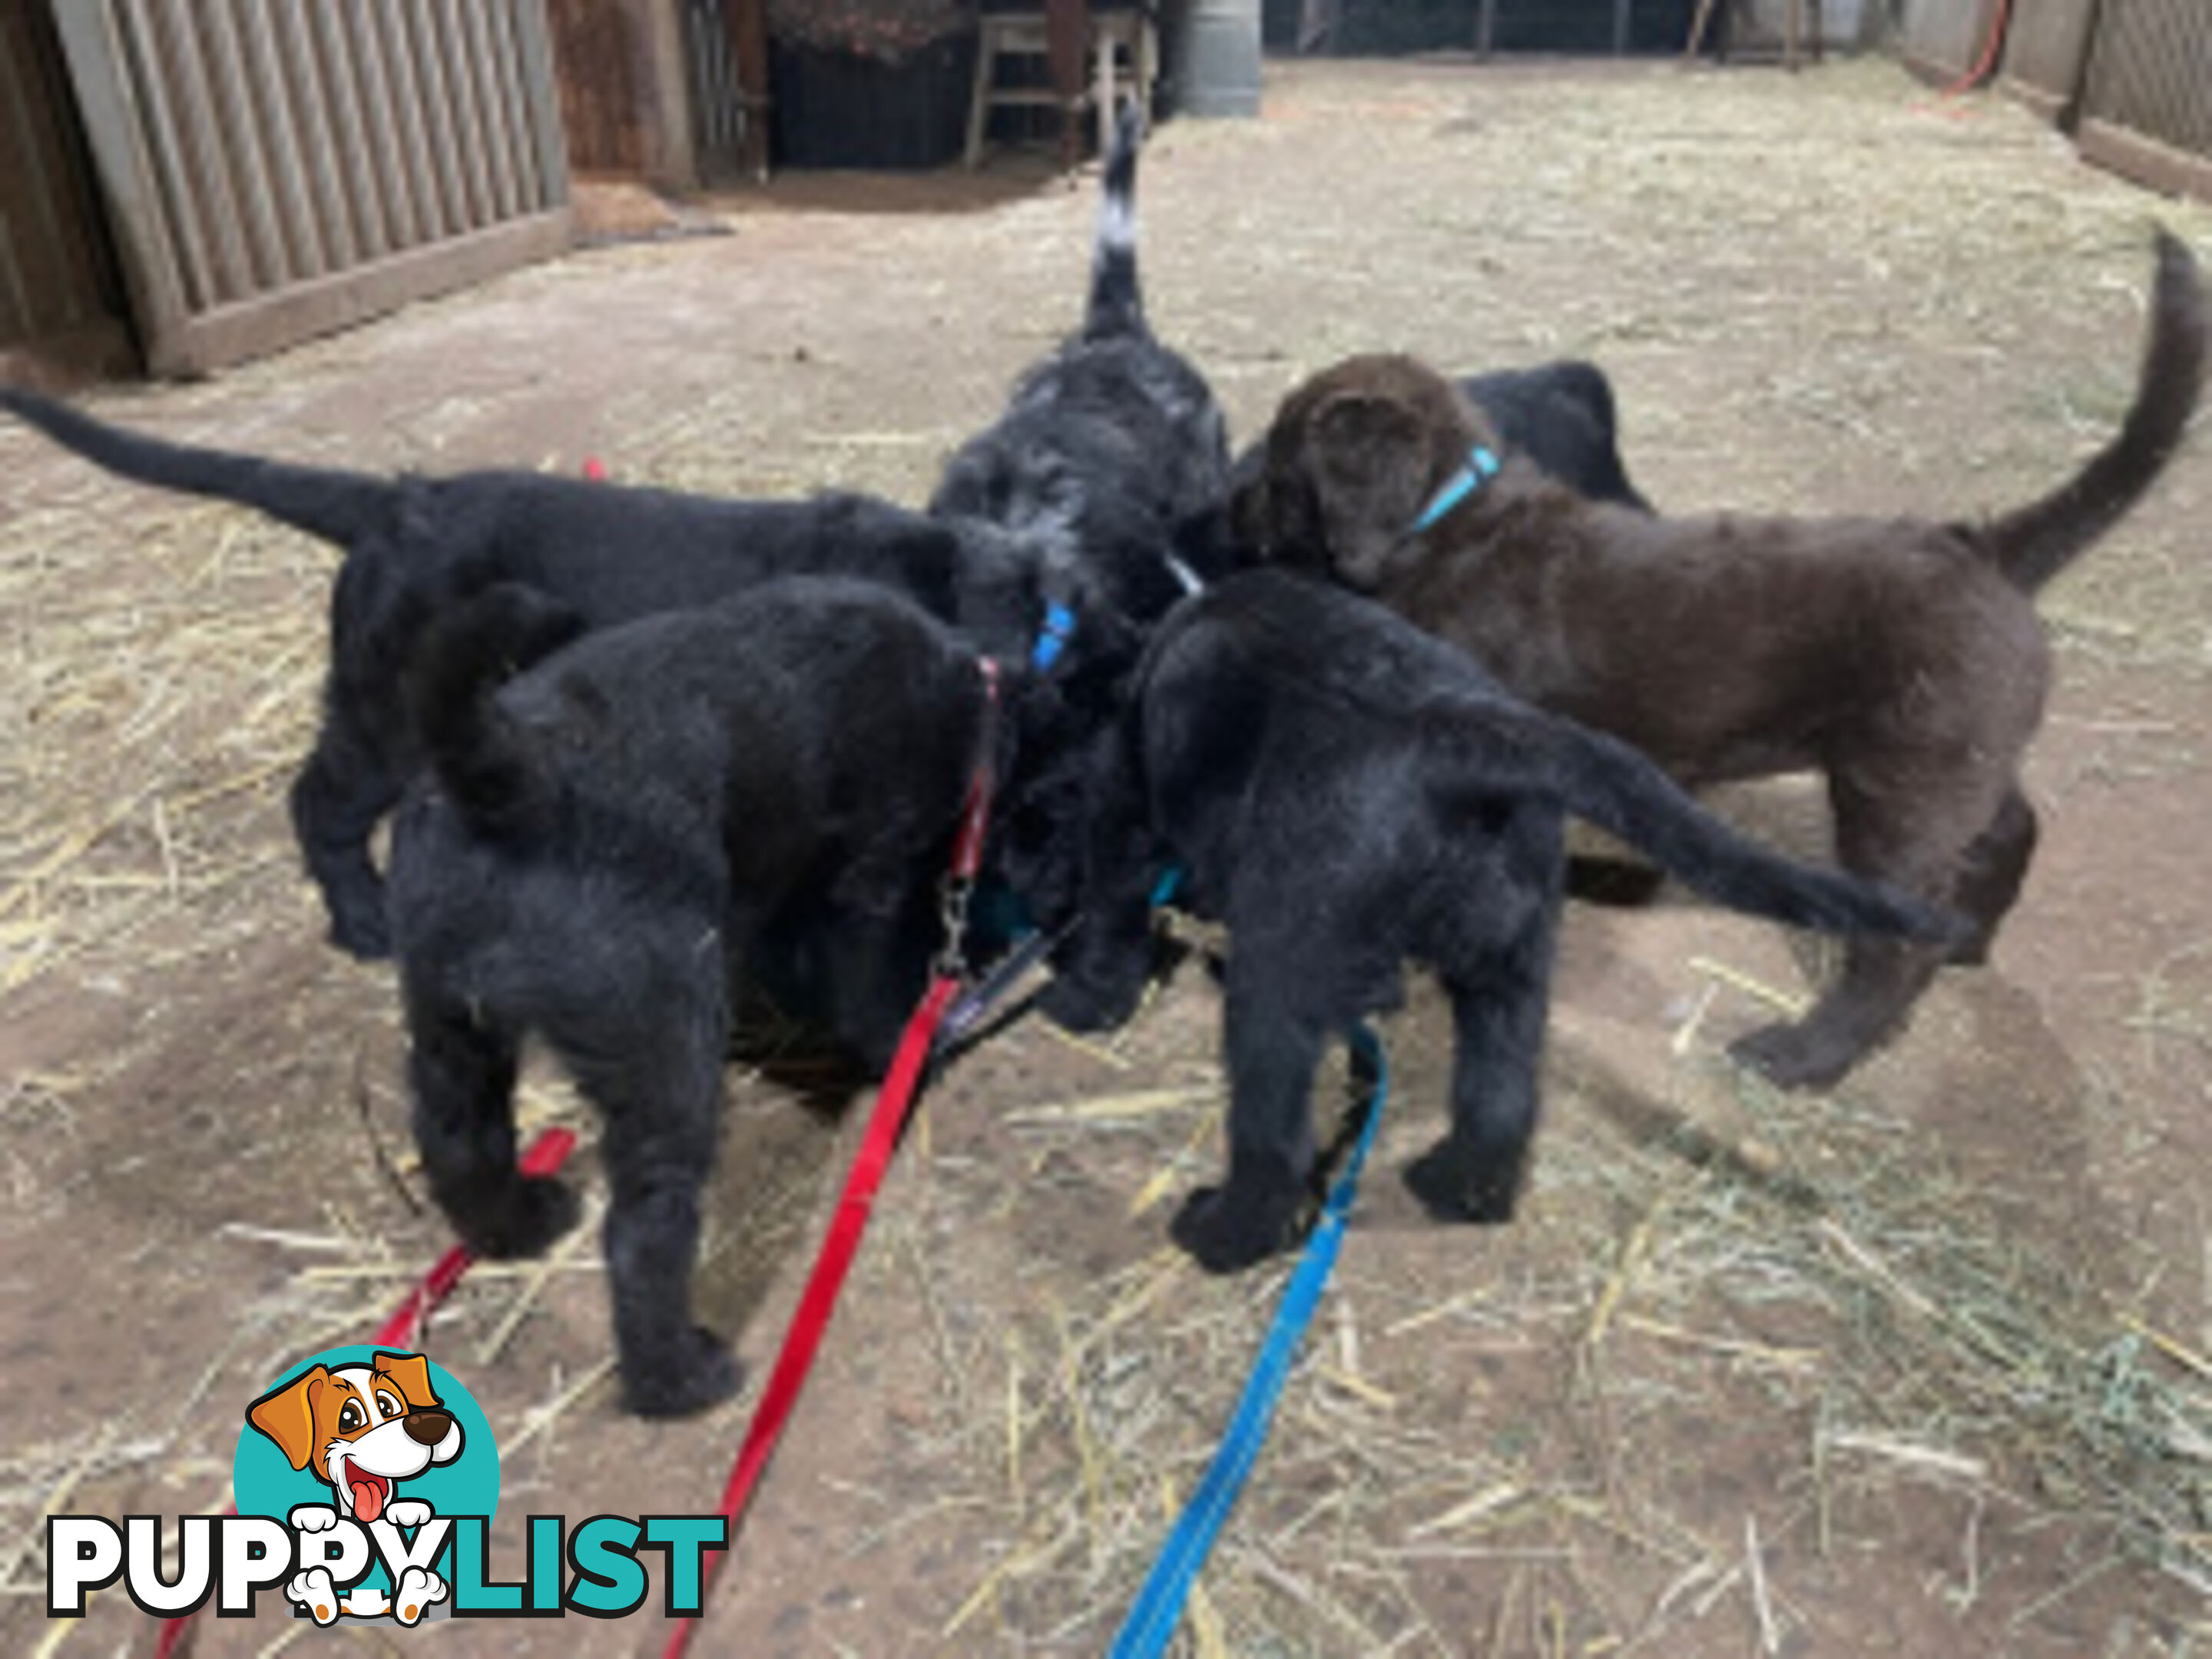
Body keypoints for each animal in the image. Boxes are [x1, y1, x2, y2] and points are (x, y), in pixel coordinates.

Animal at [389, 575, 1097, 1416]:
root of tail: (510, 785)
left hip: (449, 1019)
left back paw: (518, 1227)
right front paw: (906, 1045)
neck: (977, 694)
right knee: (643, 1233)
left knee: (458, 1135)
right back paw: (680, 1378)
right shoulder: (868, 881)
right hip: (666, 1053)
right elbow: (867, 984)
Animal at [1039, 571, 1955, 1273]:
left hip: (1280, 986)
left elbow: (1109, 916)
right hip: (1509, 964)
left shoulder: (1120, 810)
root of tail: (1468, 739)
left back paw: (1220, 1236)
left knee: (1278, 1146)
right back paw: (1457, 1190)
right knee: (1502, 1098)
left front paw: (1082, 1002)